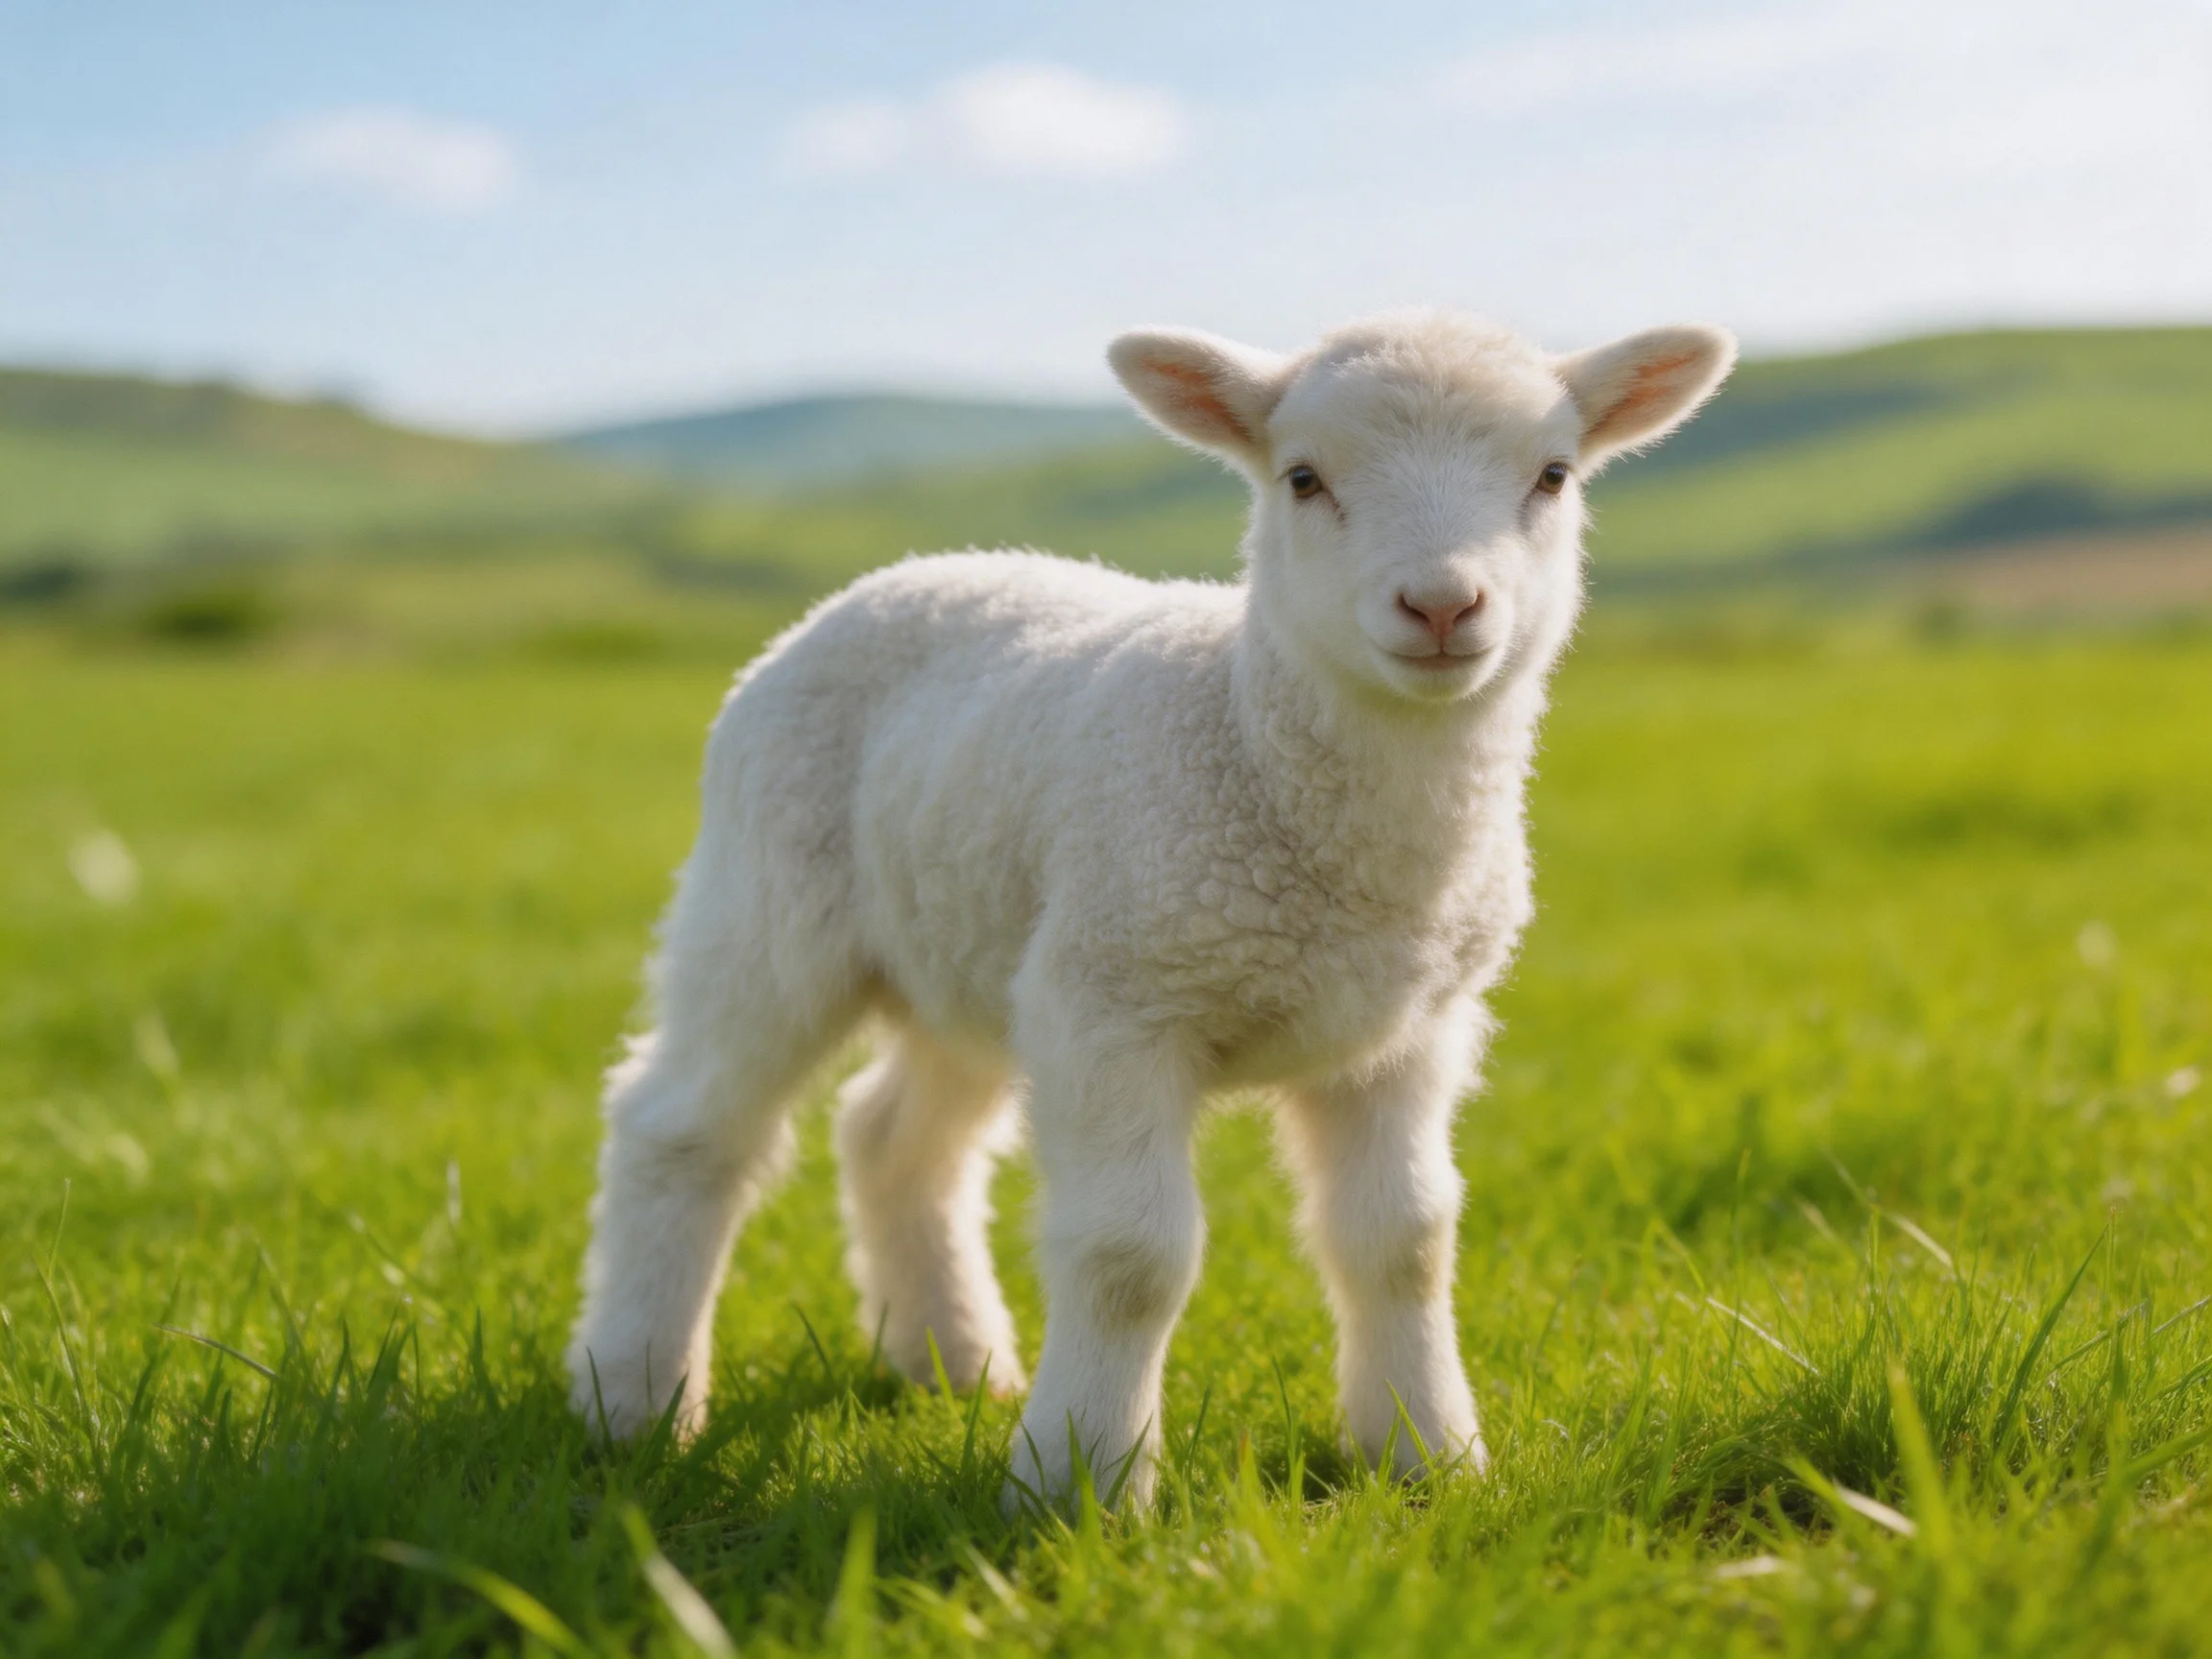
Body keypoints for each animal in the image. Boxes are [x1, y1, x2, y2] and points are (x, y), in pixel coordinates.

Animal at [565, 308, 1736, 1510]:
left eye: (1553, 476)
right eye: (1303, 478)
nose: (1443, 605)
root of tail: (909, 572)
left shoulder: (1404, 1032)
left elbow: (1403, 1240)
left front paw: (1428, 1457)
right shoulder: (1117, 1003)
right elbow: (1131, 1258)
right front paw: (1077, 1483)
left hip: (978, 947)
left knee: (895, 1137)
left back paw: (952, 1362)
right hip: (771, 898)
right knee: (681, 1127)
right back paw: (636, 1401)